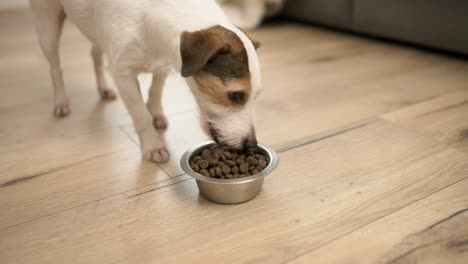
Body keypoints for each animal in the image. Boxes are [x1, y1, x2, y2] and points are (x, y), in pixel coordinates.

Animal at [30, 0, 262, 163]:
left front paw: (156, 112)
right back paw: (61, 101)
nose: (252, 144)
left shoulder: (165, 62)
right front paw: (152, 145)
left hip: (96, 32)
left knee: (95, 53)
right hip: (47, 25)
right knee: (55, 67)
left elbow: (156, 90)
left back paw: (103, 88)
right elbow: (140, 114)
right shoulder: (123, 74)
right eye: (236, 95)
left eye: (256, 96)